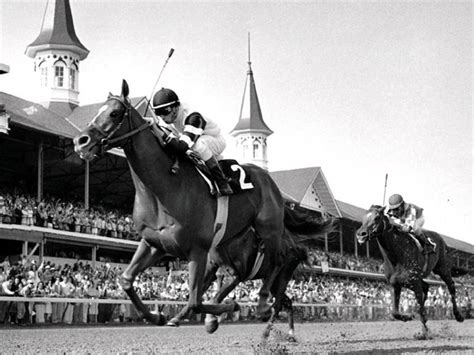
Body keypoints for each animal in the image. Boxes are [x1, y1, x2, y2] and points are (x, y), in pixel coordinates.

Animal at [74, 80, 334, 328]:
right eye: (98, 111)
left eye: (115, 113)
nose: (80, 141)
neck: (164, 188)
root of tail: (271, 182)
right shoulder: (155, 244)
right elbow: (127, 280)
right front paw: (158, 316)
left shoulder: (198, 251)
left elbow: (195, 300)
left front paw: (226, 310)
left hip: (268, 228)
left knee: (277, 263)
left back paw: (262, 305)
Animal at [356, 206, 466, 340]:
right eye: (363, 217)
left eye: (377, 217)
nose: (361, 234)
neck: (396, 257)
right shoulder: (395, 285)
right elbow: (395, 312)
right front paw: (408, 317)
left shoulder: (415, 283)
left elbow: (422, 313)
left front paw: (424, 333)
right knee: (426, 287)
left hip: (442, 268)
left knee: (451, 287)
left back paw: (458, 316)